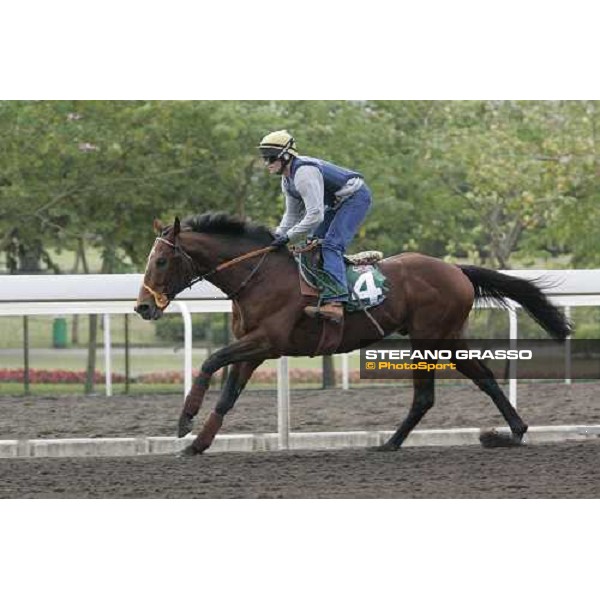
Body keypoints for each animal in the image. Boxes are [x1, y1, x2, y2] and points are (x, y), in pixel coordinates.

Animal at [135, 211, 572, 454]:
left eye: (160, 261)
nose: (142, 307)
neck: (257, 278)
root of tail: (456, 269)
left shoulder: (266, 341)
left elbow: (210, 361)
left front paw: (184, 421)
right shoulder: (254, 349)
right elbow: (227, 396)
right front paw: (197, 444)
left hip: (428, 338)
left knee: (428, 395)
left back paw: (395, 442)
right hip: (446, 338)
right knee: (482, 380)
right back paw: (511, 433)